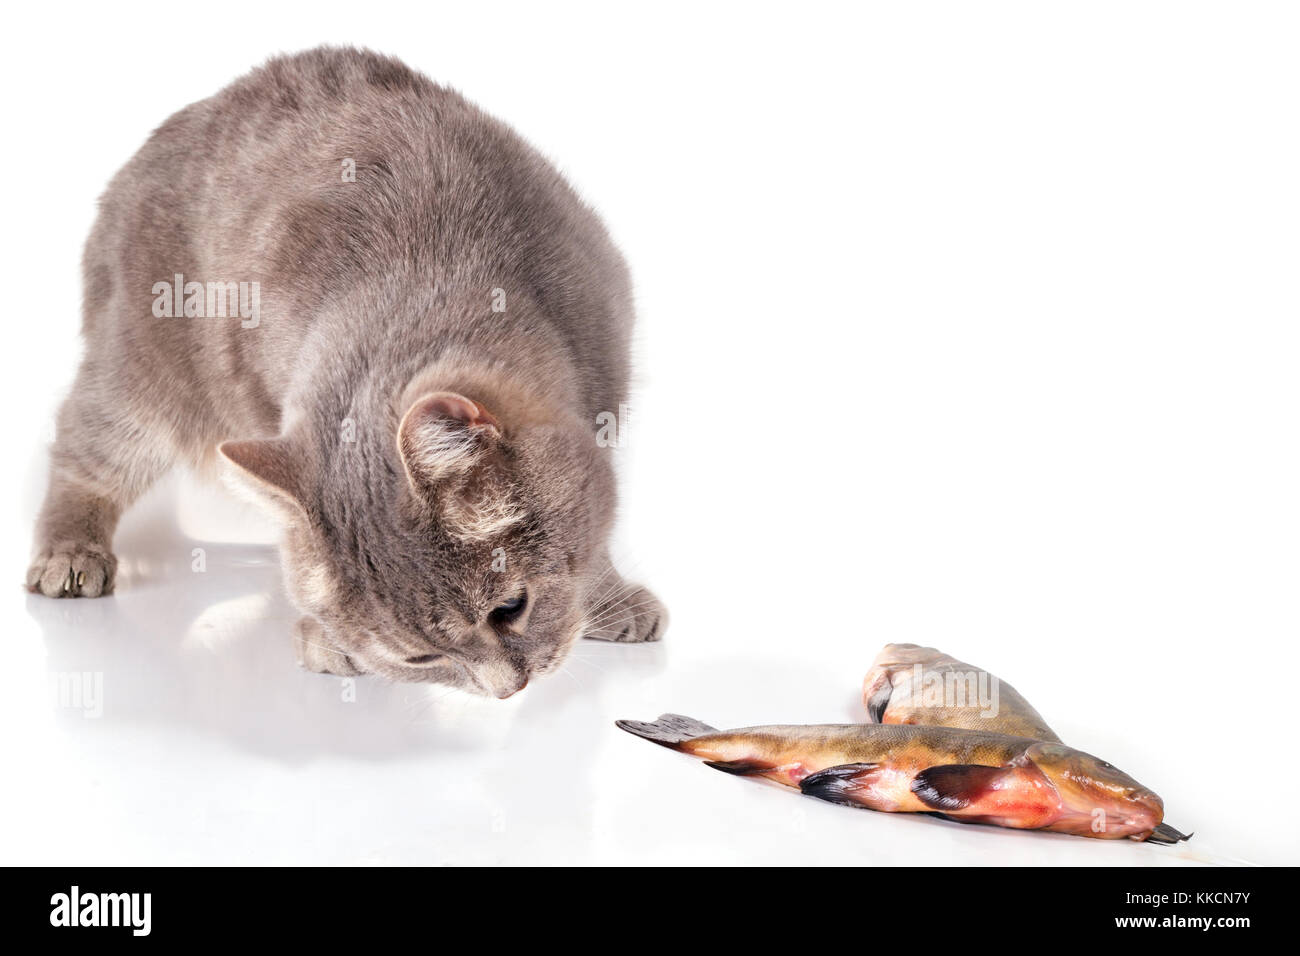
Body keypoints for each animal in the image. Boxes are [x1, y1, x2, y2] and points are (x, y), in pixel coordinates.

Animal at [26, 46, 665, 697]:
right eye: (423, 659)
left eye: (511, 607)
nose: (508, 689)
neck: (434, 270)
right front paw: (324, 639)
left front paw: (609, 599)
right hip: (139, 380)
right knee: (81, 452)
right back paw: (69, 554)